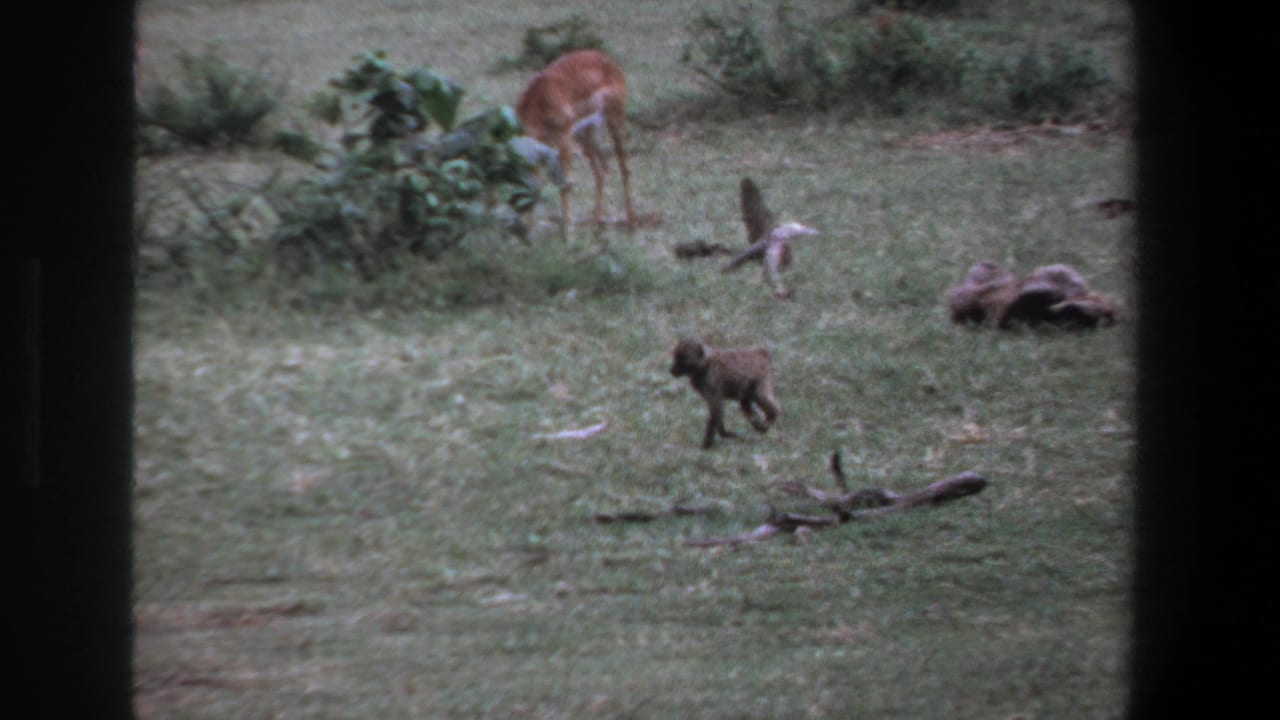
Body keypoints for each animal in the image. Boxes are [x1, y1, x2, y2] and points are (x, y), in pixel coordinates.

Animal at [516, 49, 637, 238]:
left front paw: (567, 234)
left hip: (614, 120)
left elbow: (563, 184)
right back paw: (595, 228)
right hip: (585, 133)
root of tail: (607, 60)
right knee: (601, 169)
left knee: (624, 168)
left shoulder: (564, 138)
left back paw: (631, 225)